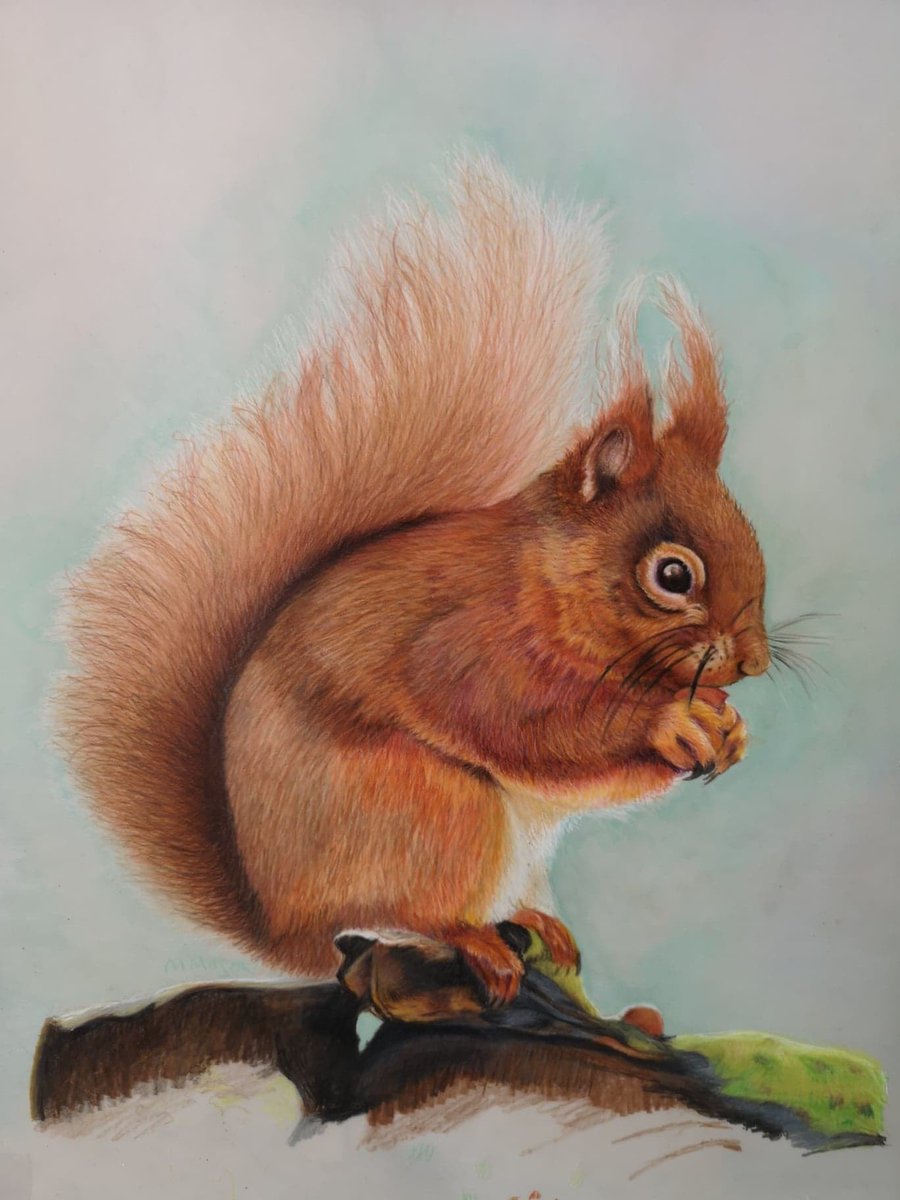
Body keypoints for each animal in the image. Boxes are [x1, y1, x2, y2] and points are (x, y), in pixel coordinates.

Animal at [56, 156, 770, 1008]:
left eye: (753, 538)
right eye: (671, 574)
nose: (755, 662)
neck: (543, 588)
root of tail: (281, 927)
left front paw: (727, 721)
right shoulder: (465, 645)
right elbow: (523, 726)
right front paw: (672, 722)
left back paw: (534, 922)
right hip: (429, 807)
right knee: (407, 913)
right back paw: (474, 940)